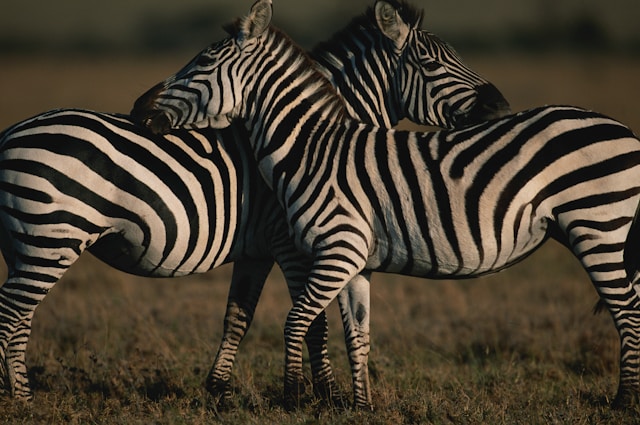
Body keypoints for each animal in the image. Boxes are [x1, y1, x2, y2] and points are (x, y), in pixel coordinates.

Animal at [0, 0, 508, 403]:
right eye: (433, 65)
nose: (500, 106)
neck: (313, 136)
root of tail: (9, 134)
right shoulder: (293, 244)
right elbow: (316, 321)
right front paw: (321, 395)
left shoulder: (257, 251)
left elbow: (238, 318)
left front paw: (219, 391)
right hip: (52, 237)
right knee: (13, 313)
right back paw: (23, 400)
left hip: (24, 245)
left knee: (16, 315)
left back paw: (13, 392)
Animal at [132, 0, 640, 410]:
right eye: (432, 62)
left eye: (202, 62)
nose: (140, 108)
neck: (312, 148)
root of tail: (624, 130)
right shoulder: (352, 260)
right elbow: (355, 333)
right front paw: (359, 406)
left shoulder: (329, 250)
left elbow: (298, 322)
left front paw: (296, 398)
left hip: (600, 227)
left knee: (628, 311)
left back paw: (623, 401)